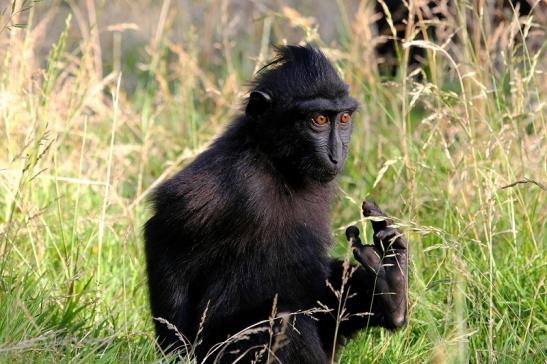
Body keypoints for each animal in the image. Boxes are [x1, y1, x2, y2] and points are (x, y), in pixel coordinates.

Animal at [143, 44, 408, 362]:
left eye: (343, 119)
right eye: (319, 120)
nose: (336, 154)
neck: (277, 165)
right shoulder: (232, 182)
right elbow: (164, 233)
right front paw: (177, 350)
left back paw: (391, 288)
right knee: (283, 319)